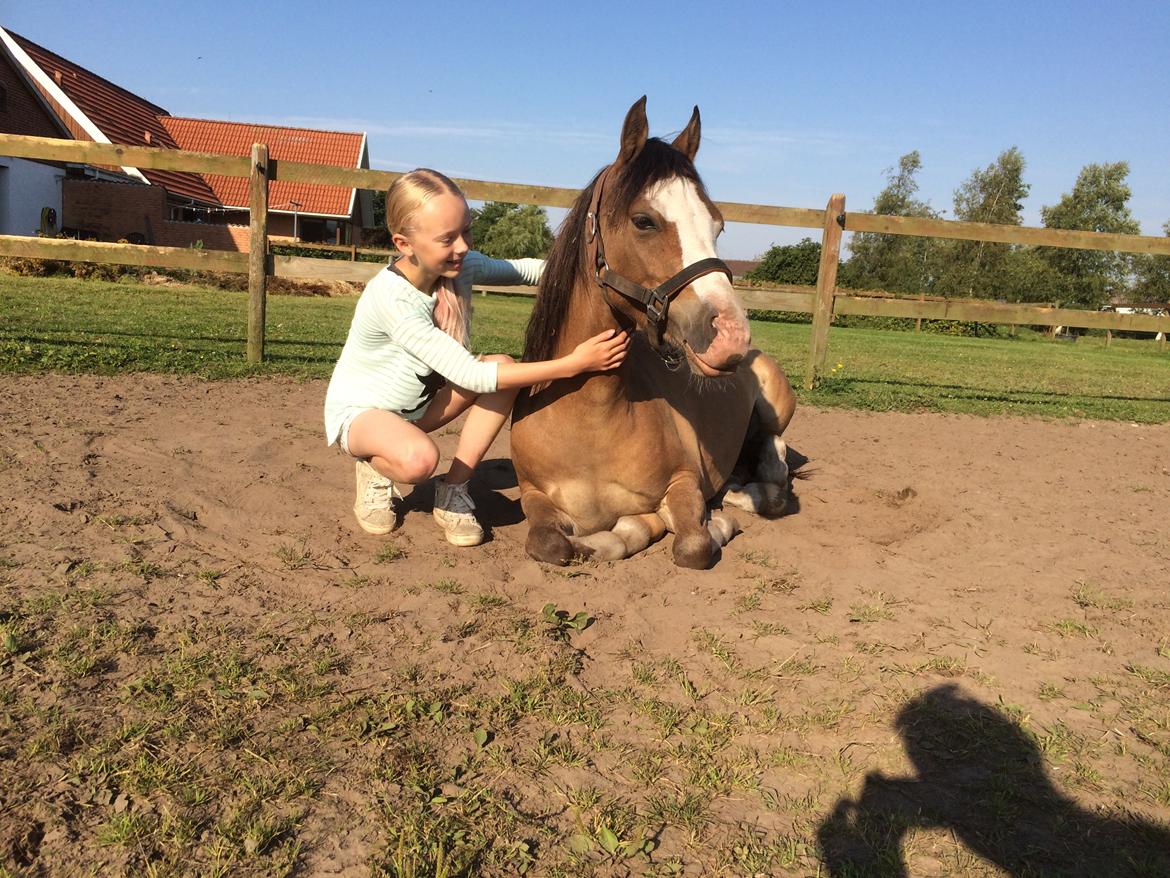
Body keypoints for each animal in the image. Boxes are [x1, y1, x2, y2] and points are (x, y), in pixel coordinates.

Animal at [510, 97, 797, 569]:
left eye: (718, 225)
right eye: (644, 220)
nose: (732, 335)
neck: (590, 423)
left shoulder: (684, 481)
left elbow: (693, 545)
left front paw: (712, 523)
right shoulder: (533, 495)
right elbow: (549, 544)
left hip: (777, 411)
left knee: (774, 457)